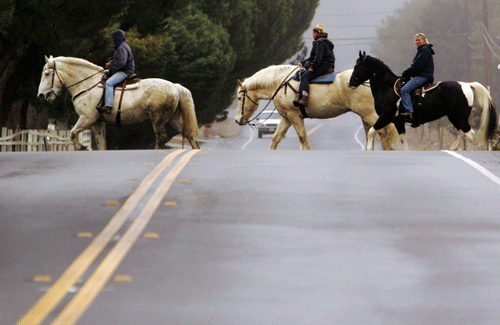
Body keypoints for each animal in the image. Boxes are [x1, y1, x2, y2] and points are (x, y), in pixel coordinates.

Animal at [37, 56, 199, 151]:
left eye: (47, 73)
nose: (41, 95)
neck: (87, 85)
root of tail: (175, 87)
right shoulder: (96, 122)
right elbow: (100, 143)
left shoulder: (87, 118)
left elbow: (72, 133)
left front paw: (81, 147)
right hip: (174, 119)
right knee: (190, 137)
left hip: (158, 119)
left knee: (161, 138)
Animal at [235, 65, 398, 151]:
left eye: (239, 98)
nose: (237, 120)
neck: (281, 83)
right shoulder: (286, 118)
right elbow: (276, 138)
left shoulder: (294, 116)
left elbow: (302, 137)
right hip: (366, 116)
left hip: (369, 113)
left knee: (384, 132)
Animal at [348, 51, 496, 150]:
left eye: (358, 66)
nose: (350, 83)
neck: (387, 87)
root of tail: (467, 85)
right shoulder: (398, 121)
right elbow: (403, 140)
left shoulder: (386, 117)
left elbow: (372, 132)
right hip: (455, 117)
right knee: (462, 134)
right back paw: (452, 149)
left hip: (459, 117)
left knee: (469, 134)